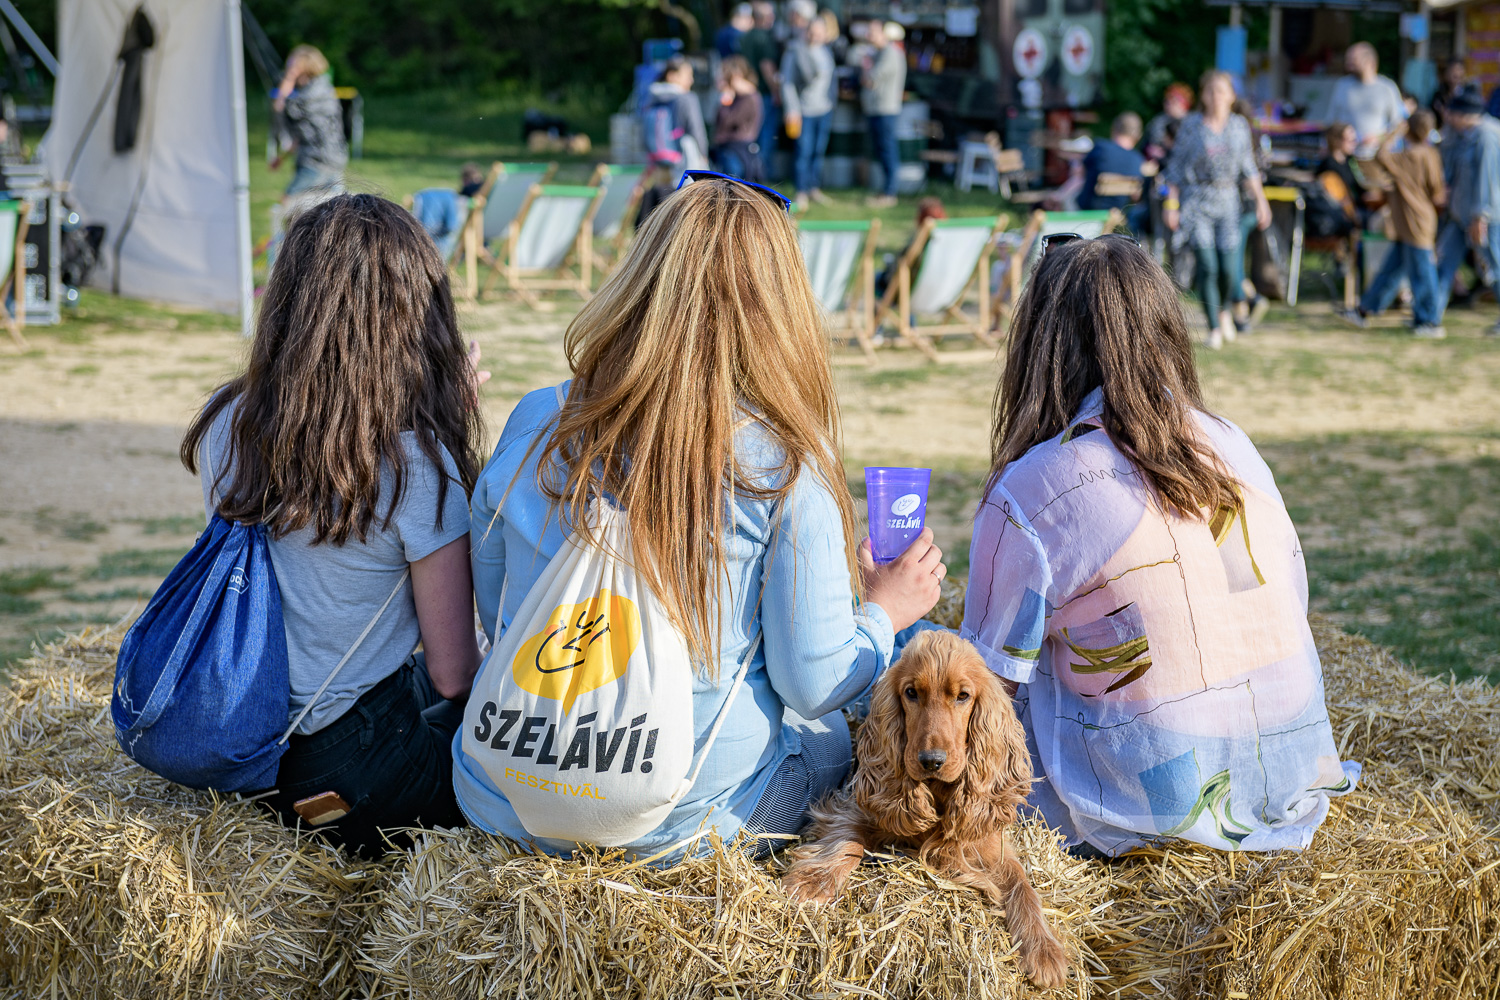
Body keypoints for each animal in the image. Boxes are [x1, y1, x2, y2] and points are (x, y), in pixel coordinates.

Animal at [786, 629, 1068, 989]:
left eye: (962, 696)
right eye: (911, 693)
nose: (931, 761)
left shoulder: (989, 842)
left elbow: (1022, 883)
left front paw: (1045, 949)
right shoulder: (855, 808)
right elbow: (847, 841)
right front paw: (814, 882)